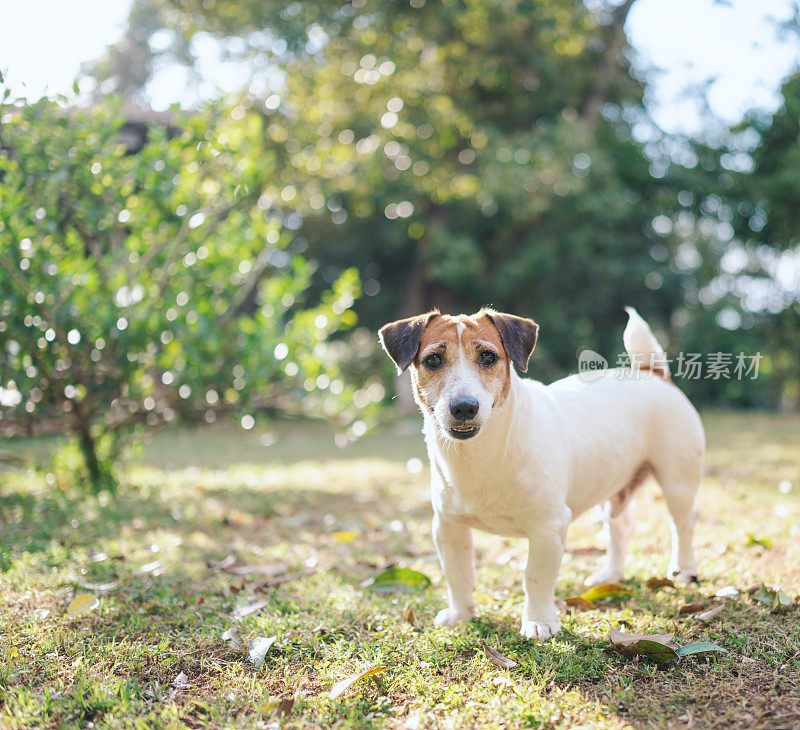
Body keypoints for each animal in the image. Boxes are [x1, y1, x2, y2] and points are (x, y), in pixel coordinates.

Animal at [378, 306, 704, 636]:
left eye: (488, 357)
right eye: (433, 359)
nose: (464, 407)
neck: (482, 454)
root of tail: (653, 374)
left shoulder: (549, 526)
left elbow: (535, 577)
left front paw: (538, 622)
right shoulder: (448, 526)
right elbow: (457, 574)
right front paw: (461, 614)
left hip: (677, 480)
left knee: (682, 524)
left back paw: (683, 571)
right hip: (612, 483)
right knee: (621, 526)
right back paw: (610, 575)